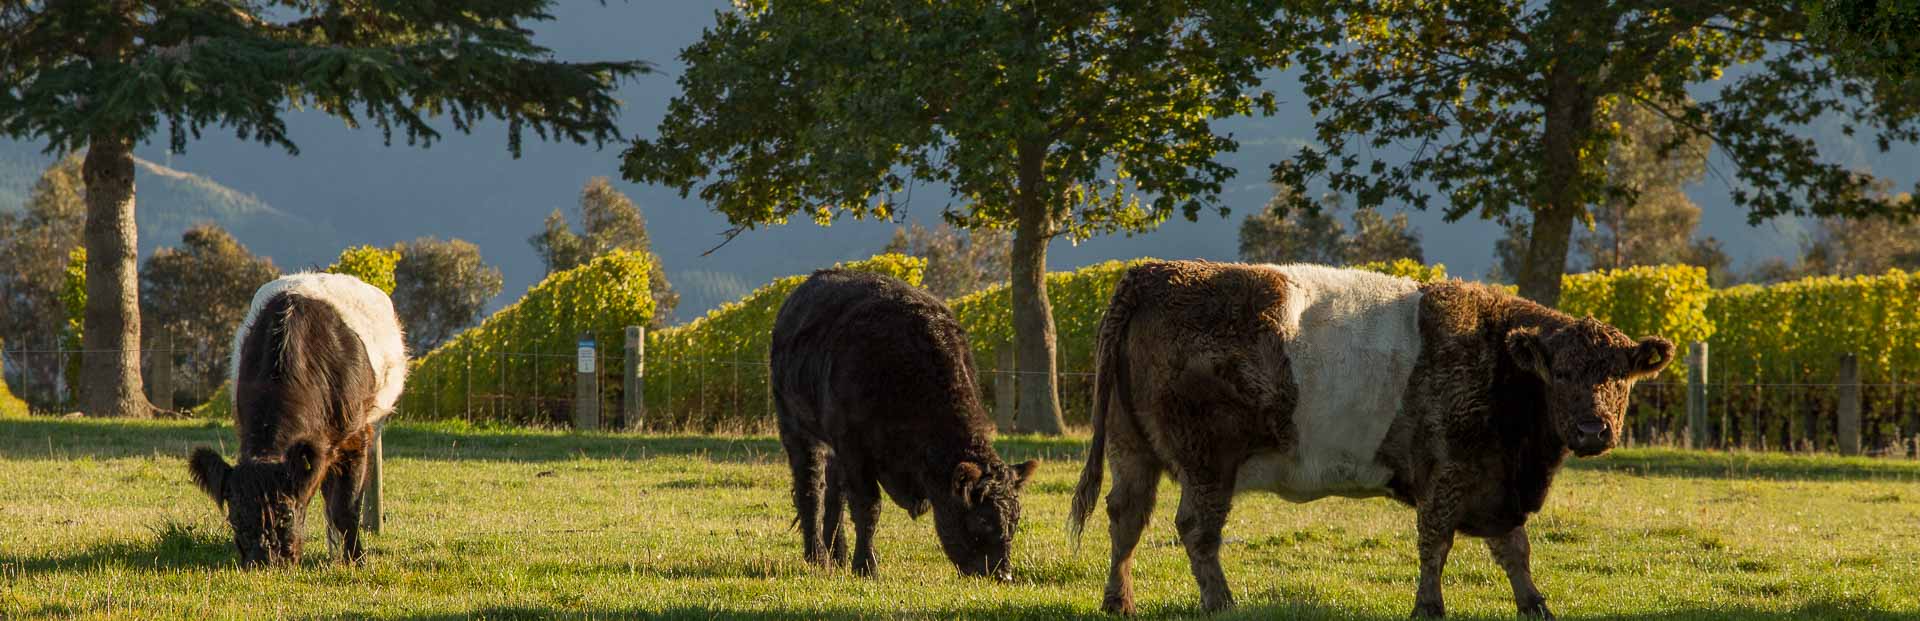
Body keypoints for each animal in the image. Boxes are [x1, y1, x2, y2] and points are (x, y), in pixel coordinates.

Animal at [768, 269, 1044, 580]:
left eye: (1015, 521)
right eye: (982, 520)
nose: (1003, 575)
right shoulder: (853, 446)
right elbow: (868, 507)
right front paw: (866, 567)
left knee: (834, 495)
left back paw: (837, 554)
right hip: (796, 426)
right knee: (811, 489)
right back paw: (817, 556)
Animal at [1075, 261, 1674, 619]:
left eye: (1620, 376)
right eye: (1562, 373)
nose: (1593, 430)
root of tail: (1153, 272)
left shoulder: (1495, 482)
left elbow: (1514, 549)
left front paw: (1535, 606)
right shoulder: (1449, 469)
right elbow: (1436, 542)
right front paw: (1428, 608)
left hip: (1132, 449)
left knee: (1126, 516)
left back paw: (1118, 601)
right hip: (1207, 460)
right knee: (1196, 529)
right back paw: (1223, 603)